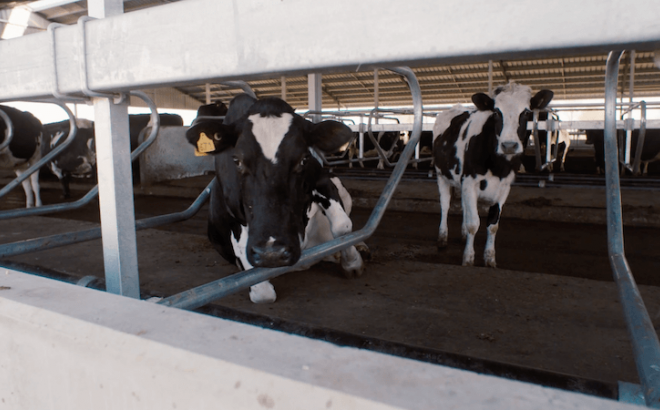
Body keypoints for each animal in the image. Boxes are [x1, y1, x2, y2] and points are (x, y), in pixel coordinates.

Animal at [186, 94, 368, 302]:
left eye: (304, 159)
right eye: (237, 161)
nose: (272, 254)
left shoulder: (323, 179)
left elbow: (342, 226)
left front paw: (353, 263)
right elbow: (263, 294)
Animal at [430, 84, 556, 270]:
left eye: (526, 112)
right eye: (496, 112)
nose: (509, 145)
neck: (498, 167)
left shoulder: (504, 187)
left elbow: (493, 226)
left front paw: (490, 259)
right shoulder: (470, 182)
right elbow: (473, 224)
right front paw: (468, 259)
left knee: (464, 206)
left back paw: (462, 235)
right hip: (441, 174)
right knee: (445, 205)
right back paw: (442, 238)